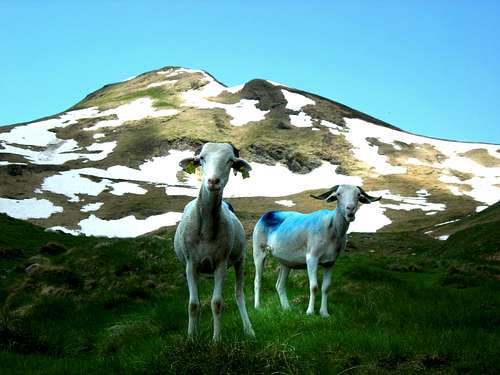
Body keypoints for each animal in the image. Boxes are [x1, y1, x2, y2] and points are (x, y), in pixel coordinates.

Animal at [175, 142, 254, 342]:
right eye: (201, 158)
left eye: (230, 161)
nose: (212, 181)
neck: (206, 230)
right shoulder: (191, 264)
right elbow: (193, 304)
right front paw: (191, 338)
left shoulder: (220, 263)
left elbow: (216, 303)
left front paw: (216, 340)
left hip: (240, 259)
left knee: (239, 295)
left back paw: (249, 330)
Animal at [252, 185, 380, 318]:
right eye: (338, 194)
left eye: (358, 195)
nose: (350, 209)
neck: (332, 230)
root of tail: (266, 215)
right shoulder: (312, 258)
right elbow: (314, 286)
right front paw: (310, 312)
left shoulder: (330, 262)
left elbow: (326, 287)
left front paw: (324, 313)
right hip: (258, 252)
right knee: (257, 281)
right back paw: (258, 307)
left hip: (285, 262)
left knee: (279, 285)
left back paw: (287, 309)